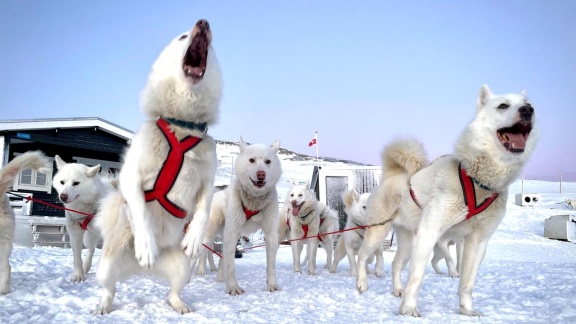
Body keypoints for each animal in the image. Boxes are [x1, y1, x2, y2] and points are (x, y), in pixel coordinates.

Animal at [93, 18, 222, 314]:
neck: (182, 126)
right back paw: (105, 303)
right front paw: (147, 246)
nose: (203, 23)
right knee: (109, 288)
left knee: (172, 292)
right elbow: (140, 209)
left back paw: (180, 304)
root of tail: (142, 271)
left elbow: (203, 210)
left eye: (213, 46)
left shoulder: (208, 182)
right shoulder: (131, 176)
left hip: (182, 267)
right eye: (183, 36)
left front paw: (194, 238)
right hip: (107, 265)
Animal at [219, 138, 282, 294]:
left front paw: (272, 285)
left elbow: (271, 265)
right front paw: (233, 287)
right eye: (252, 160)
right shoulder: (232, 232)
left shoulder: (271, 234)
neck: (254, 201)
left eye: (268, 161)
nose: (261, 174)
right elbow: (230, 266)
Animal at [356, 85, 540, 318]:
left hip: (407, 240)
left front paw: (466, 310)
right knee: (362, 256)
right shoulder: (431, 233)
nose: (528, 110)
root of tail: (393, 174)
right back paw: (361, 283)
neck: (478, 181)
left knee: (396, 264)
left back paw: (398, 289)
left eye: (529, 104)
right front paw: (409, 308)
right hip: (378, 233)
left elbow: (467, 282)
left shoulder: (478, 241)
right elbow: (417, 276)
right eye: (503, 105)